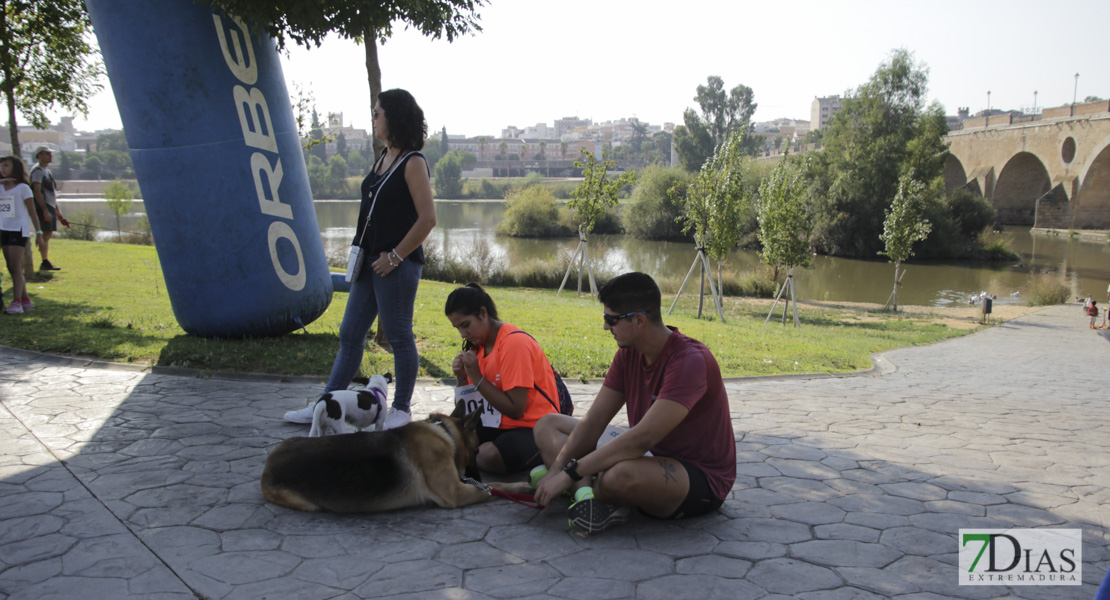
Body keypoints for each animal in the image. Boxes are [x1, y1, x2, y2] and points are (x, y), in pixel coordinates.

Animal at [264, 410, 532, 512]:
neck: (443, 433)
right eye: (476, 451)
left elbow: (495, 487)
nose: (476, 478)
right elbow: (494, 488)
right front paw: (519, 487)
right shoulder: (457, 492)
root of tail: (269, 464)